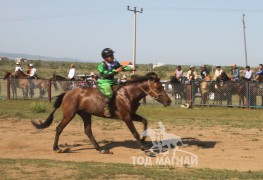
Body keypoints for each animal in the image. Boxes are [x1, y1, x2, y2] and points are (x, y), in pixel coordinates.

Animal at [32, 72, 172, 154]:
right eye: (158, 87)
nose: (169, 101)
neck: (127, 94)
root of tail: (68, 92)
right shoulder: (126, 117)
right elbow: (134, 132)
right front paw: (144, 148)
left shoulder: (132, 115)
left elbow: (144, 121)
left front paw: (144, 139)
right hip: (69, 114)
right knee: (59, 128)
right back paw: (56, 148)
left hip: (86, 115)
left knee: (88, 131)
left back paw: (100, 149)